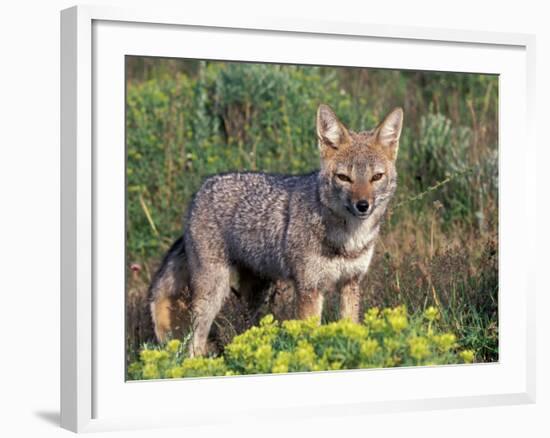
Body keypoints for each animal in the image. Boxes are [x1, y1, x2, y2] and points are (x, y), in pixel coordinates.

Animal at [149, 103, 404, 356]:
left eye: (376, 177)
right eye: (344, 178)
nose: (363, 205)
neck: (349, 240)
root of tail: (200, 190)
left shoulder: (350, 283)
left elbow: (351, 327)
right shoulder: (309, 289)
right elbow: (310, 335)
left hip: (257, 292)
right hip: (214, 292)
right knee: (195, 342)